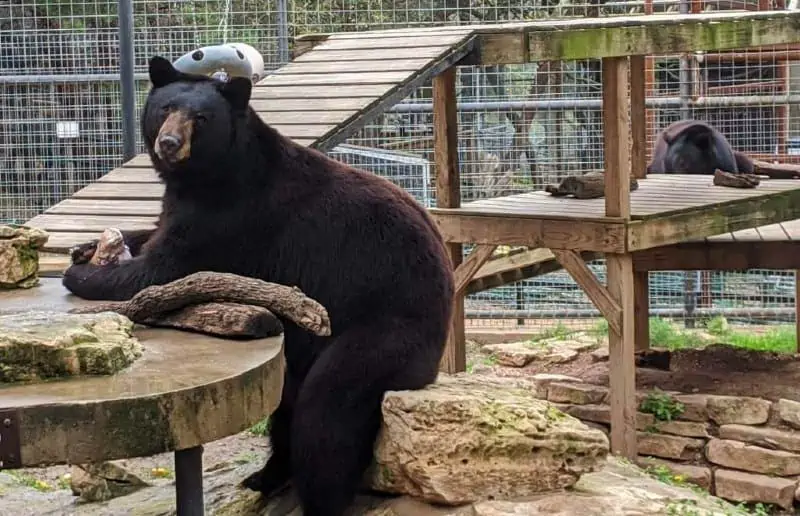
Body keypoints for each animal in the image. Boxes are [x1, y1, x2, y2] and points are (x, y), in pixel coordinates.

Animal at [63, 56, 456, 516]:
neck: (210, 174)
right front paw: (86, 246)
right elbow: (155, 233)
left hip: (382, 332)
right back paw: (264, 475)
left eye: (201, 117)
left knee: (327, 413)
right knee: (288, 404)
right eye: (165, 108)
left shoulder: (233, 217)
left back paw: (312, 493)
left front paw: (82, 274)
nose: (169, 143)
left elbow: (163, 269)